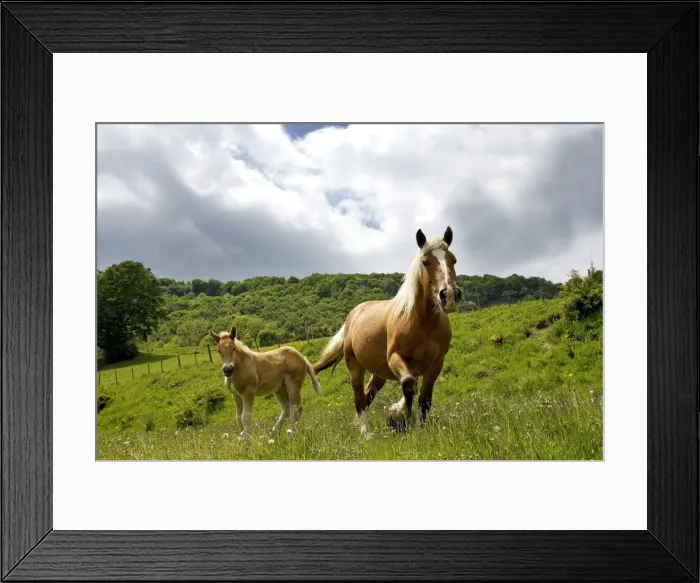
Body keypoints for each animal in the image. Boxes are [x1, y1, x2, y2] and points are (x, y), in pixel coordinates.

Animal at [313, 226, 460, 439]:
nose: (448, 295)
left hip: (379, 374)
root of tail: (353, 316)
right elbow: (408, 384)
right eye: (425, 262)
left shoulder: (436, 362)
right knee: (359, 399)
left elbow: (425, 398)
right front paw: (402, 418)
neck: (422, 322)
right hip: (355, 366)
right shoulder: (395, 357)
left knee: (367, 395)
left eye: (453, 259)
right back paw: (366, 433)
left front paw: (416, 424)